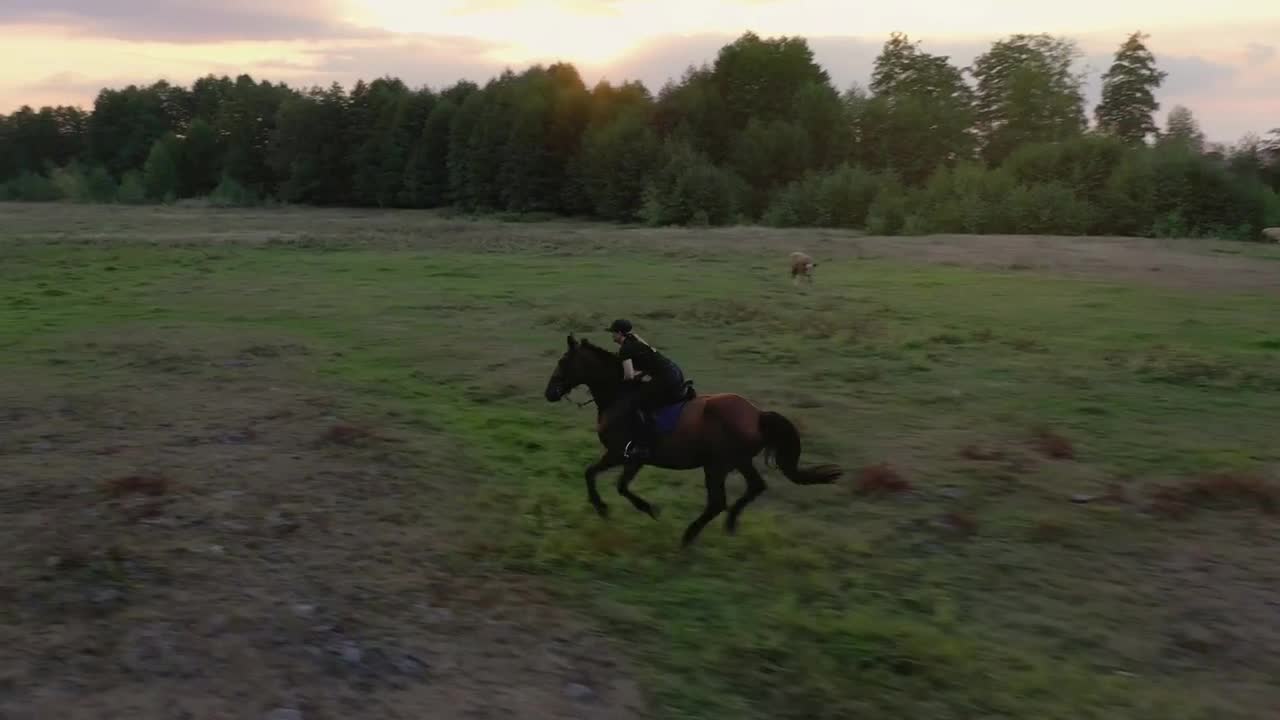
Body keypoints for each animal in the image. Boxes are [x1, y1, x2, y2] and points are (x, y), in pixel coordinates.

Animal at [540, 333, 839, 545]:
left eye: (563, 362)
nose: (550, 393)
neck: (618, 396)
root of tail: (757, 414)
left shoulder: (625, 455)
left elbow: (614, 484)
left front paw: (642, 509)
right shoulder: (624, 457)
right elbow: (594, 475)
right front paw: (605, 508)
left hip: (716, 465)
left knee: (718, 502)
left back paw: (688, 536)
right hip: (738, 461)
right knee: (755, 487)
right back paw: (730, 524)